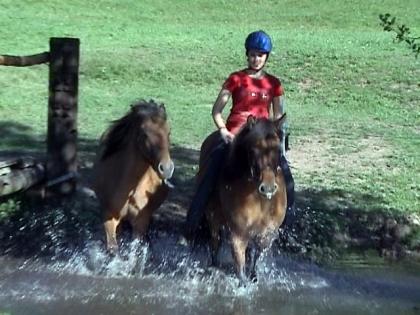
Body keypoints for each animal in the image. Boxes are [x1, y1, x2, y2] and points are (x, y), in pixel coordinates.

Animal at [93, 100, 174, 256]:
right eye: (144, 133)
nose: (166, 168)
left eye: (168, 132)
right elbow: (113, 249)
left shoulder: (140, 221)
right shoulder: (109, 216)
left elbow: (136, 250)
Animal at [199, 115, 288, 284]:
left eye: (278, 149)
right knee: (215, 242)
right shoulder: (238, 234)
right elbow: (240, 270)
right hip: (213, 219)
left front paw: (254, 276)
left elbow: (255, 256)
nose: (268, 188)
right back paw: (213, 265)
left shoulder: (265, 234)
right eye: (253, 149)